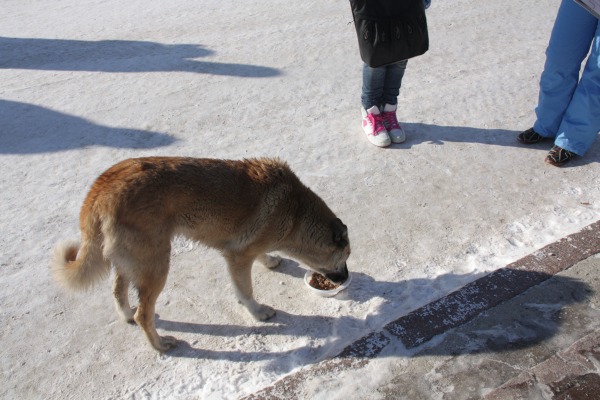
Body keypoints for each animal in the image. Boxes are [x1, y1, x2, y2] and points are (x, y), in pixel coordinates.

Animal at [53, 158, 352, 352]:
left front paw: (269, 260)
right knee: (143, 315)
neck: (296, 213)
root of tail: (101, 188)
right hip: (156, 264)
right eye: (345, 257)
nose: (345, 278)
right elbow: (245, 291)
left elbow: (261, 255)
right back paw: (160, 345)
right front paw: (257, 312)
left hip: (133, 261)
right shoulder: (237, 257)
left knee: (118, 291)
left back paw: (127, 314)